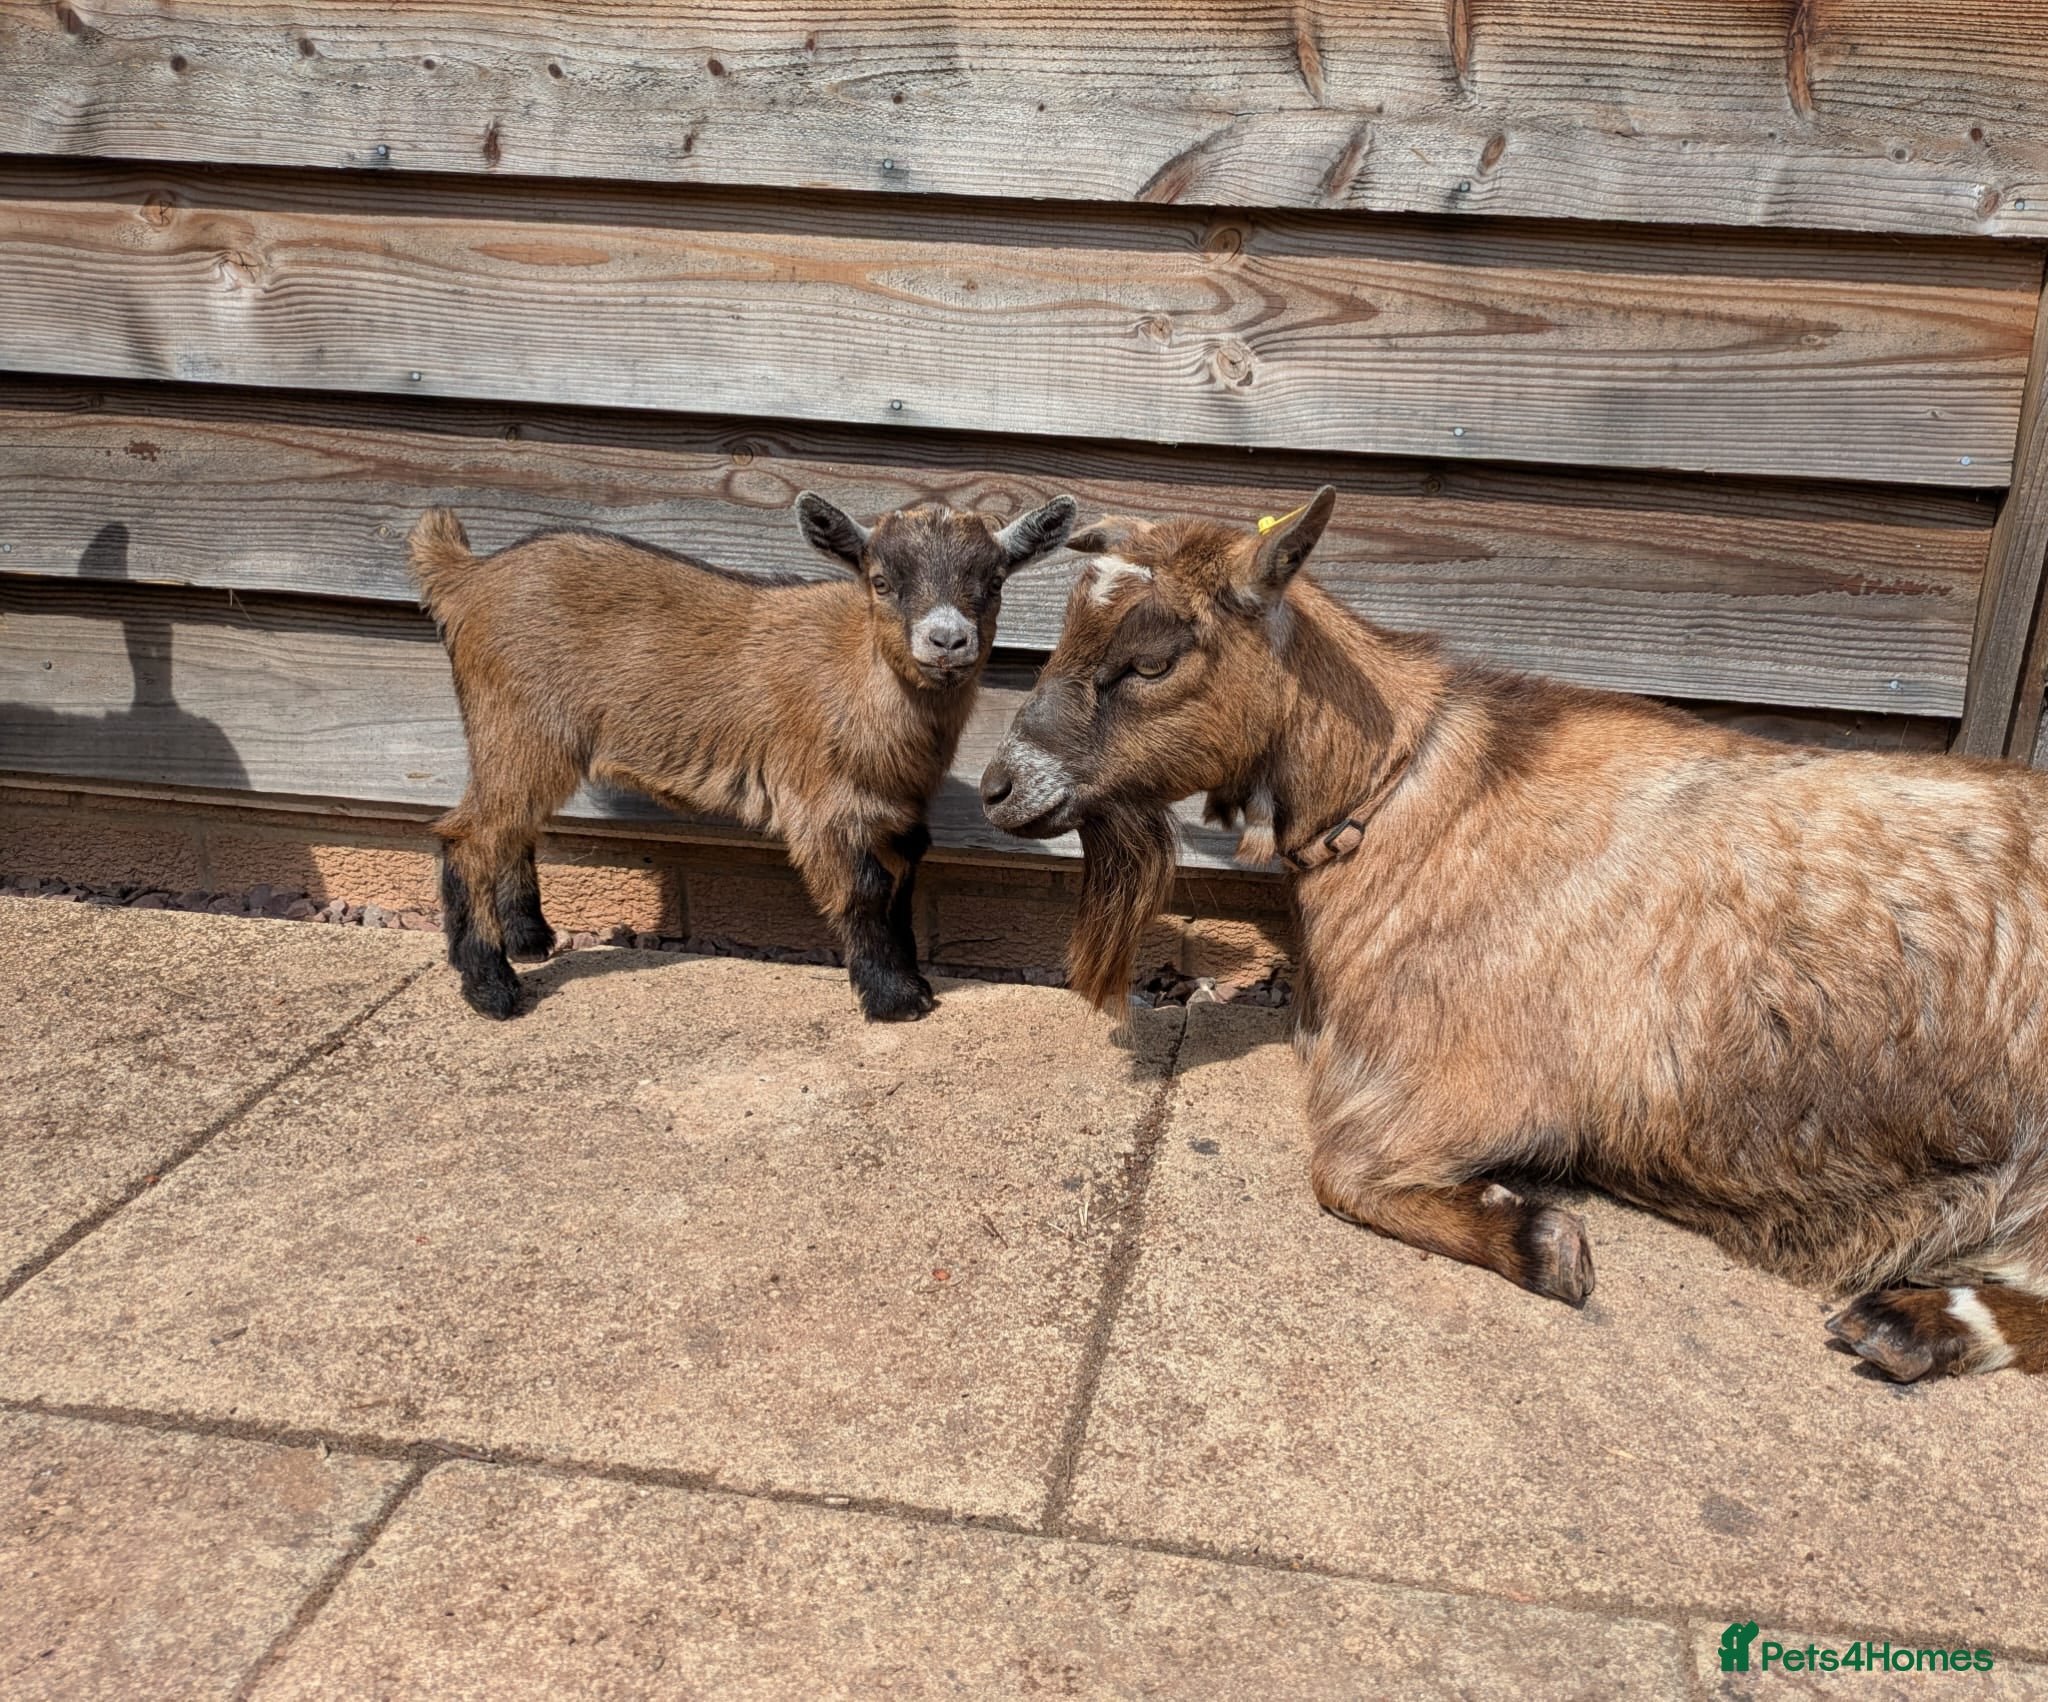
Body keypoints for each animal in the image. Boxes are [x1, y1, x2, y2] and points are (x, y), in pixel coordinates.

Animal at [409, 493, 1076, 1022]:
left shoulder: (897, 807)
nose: (947, 640)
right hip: (519, 726)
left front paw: (912, 979)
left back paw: (530, 940)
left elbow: (903, 882)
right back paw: (492, 987)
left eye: (994, 583)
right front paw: (894, 1000)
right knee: (469, 835)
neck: (863, 680)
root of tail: (468, 578)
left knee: (513, 827)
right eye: (882, 581)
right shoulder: (820, 803)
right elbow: (862, 890)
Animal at [981, 486, 2048, 1381]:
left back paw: (1915, 1321)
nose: (998, 786)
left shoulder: (1472, 1078)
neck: (1409, 798)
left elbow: (1339, 1171)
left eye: (1151, 660)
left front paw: (1543, 1239)